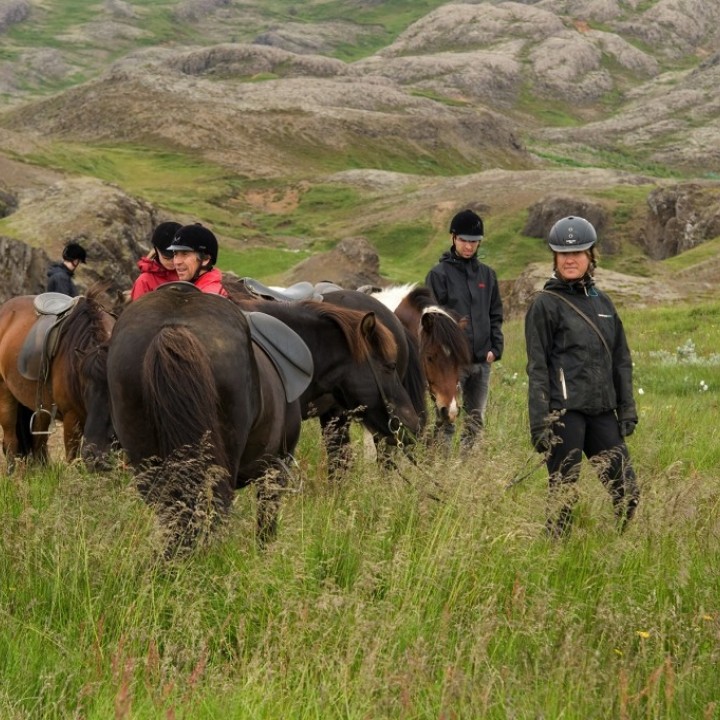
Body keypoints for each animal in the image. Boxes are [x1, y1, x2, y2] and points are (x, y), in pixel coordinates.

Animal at [0, 286, 115, 466]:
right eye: (86, 392)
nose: (98, 459)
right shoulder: (71, 418)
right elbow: (73, 459)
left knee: (38, 443)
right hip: (6, 396)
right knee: (11, 441)